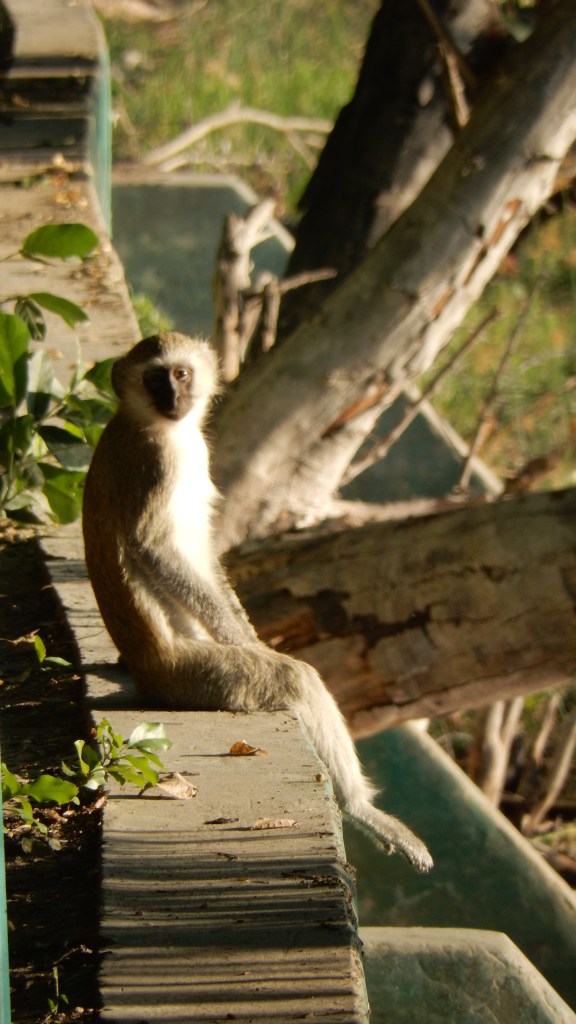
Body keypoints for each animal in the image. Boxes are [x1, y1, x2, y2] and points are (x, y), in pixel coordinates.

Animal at [82, 332, 433, 873]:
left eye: (180, 374)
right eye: (155, 378)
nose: (173, 398)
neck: (162, 427)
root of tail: (147, 674)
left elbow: (203, 554)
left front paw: (247, 631)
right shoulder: (154, 461)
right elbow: (154, 549)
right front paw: (244, 641)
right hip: (196, 676)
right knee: (296, 678)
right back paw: (359, 808)